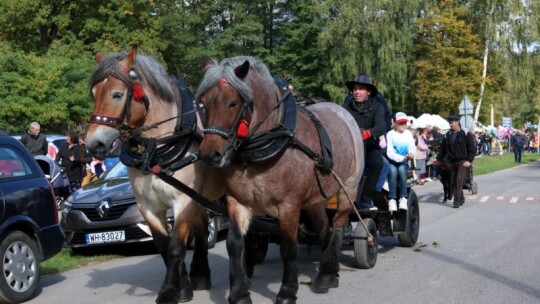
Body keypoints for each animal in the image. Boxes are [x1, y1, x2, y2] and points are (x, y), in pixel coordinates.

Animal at [85, 48, 225, 302]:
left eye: (117, 95)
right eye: (94, 94)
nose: (94, 144)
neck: (155, 148)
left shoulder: (183, 200)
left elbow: (176, 246)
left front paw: (169, 291)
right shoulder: (148, 206)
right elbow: (163, 246)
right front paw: (183, 287)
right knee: (201, 227)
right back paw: (200, 274)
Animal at [194, 55, 362, 302]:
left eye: (232, 103)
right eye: (203, 104)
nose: (209, 154)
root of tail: (339, 109)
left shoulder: (289, 206)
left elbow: (288, 247)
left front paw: (287, 291)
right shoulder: (238, 201)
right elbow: (234, 243)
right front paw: (239, 292)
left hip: (348, 187)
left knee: (339, 222)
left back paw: (329, 269)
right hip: (314, 198)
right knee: (324, 226)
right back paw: (326, 268)